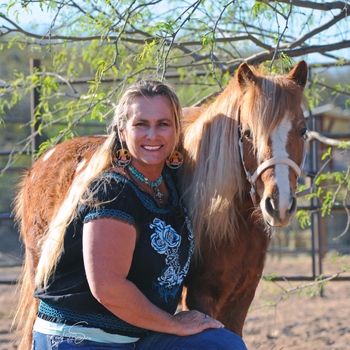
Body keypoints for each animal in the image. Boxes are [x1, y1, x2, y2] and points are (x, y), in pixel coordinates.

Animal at [13, 60, 308, 348]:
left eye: (303, 131)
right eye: (246, 133)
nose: (279, 204)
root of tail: (41, 163)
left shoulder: (242, 295)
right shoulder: (202, 295)